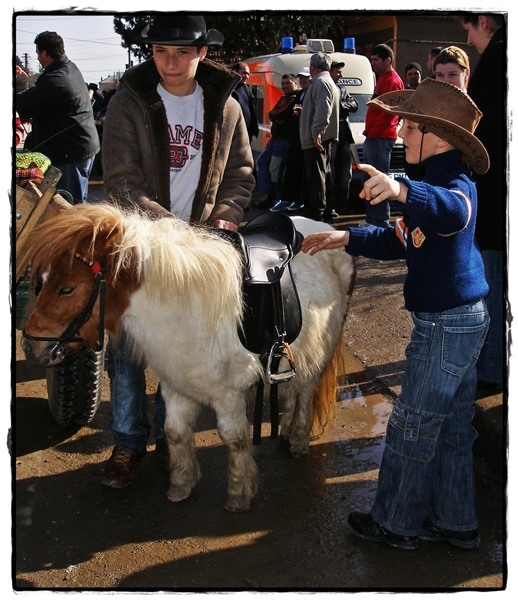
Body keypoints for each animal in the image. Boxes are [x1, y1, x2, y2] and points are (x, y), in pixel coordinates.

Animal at [19, 203, 356, 512]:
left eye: (67, 289)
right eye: (40, 282)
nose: (30, 346)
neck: (186, 303)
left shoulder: (229, 395)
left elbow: (234, 440)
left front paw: (239, 494)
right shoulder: (176, 385)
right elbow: (175, 432)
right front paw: (181, 484)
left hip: (320, 352)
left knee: (306, 393)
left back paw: (298, 438)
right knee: (290, 391)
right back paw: (285, 426)